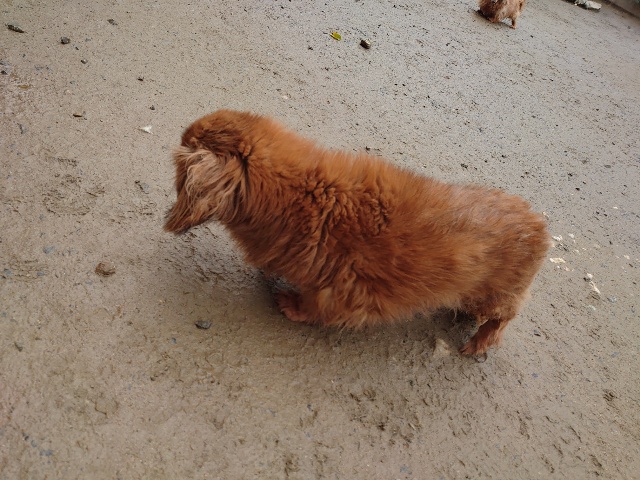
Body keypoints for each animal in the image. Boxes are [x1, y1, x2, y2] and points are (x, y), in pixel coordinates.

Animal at [165, 110, 550, 355]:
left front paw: (291, 304)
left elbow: (315, 308)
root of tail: (538, 224)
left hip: (494, 295)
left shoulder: (339, 290)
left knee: (502, 318)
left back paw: (479, 342)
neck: (297, 196)